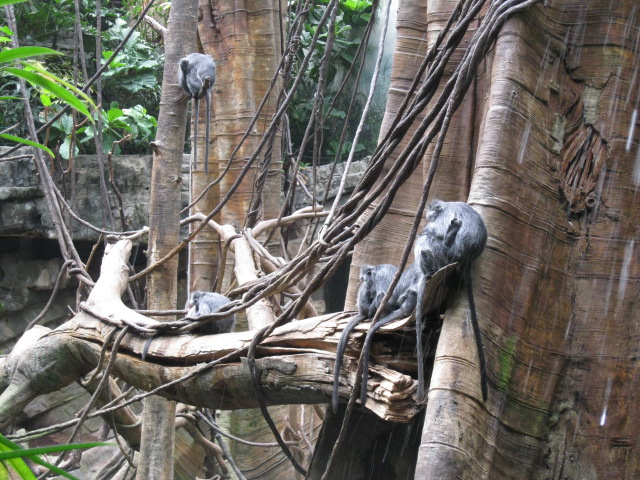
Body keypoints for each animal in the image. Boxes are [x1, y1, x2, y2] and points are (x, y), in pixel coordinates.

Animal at [413, 200, 488, 402]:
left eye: (431, 214)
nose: (428, 217)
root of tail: (467, 258)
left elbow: (431, 232)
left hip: (445, 256)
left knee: (427, 241)